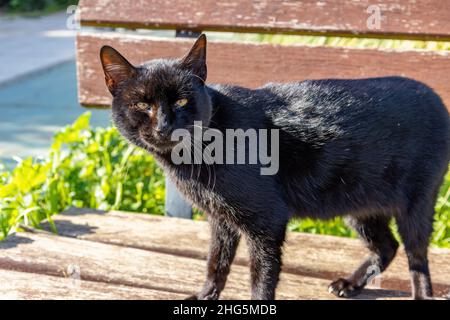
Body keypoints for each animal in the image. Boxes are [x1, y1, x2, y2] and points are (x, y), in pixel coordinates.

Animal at [100, 35, 448, 300]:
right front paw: (206, 295)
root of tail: (434, 95)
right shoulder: (221, 219)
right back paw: (350, 284)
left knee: (416, 257)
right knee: (387, 246)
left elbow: (261, 275)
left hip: (416, 203)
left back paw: (420, 294)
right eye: (142, 105)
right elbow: (216, 262)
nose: (165, 126)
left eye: (182, 102)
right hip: (360, 206)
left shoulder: (266, 221)